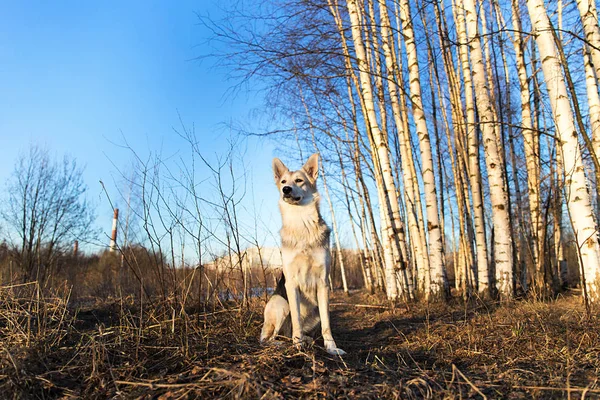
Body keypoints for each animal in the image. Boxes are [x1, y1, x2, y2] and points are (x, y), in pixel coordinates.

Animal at [258, 153, 346, 356]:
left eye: (299, 180)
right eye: (283, 181)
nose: (286, 189)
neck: (302, 225)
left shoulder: (323, 284)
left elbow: (327, 325)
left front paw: (331, 348)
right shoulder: (291, 283)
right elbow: (296, 319)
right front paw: (297, 345)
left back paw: (306, 340)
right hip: (281, 304)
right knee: (268, 338)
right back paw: (284, 343)